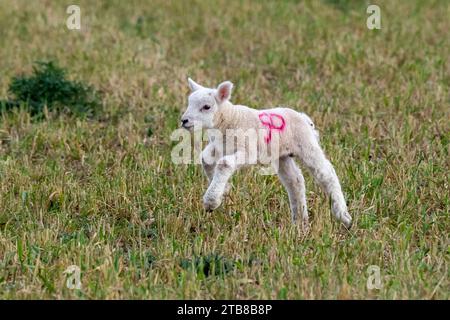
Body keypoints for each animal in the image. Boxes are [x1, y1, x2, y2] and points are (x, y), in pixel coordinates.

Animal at [179, 77, 352, 228]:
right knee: (295, 180)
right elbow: (205, 159)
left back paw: (343, 216)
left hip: (306, 145)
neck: (230, 119)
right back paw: (300, 223)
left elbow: (224, 164)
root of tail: (305, 118)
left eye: (206, 107)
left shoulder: (248, 150)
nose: (184, 120)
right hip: (282, 155)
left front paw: (211, 201)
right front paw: (225, 190)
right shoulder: (220, 146)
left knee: (326, 174)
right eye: (189, 103)